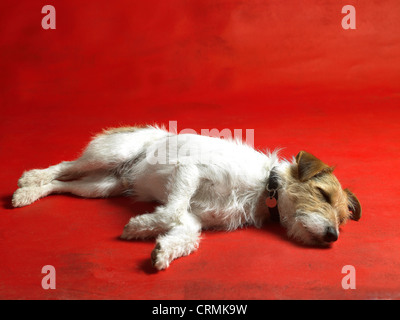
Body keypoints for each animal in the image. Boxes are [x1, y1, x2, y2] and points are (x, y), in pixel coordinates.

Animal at [13, 125, 362, 270]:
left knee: (61, 184)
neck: (265, 190)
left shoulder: (193, 218)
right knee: (64, 166)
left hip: (101, 186)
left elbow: (189, 237)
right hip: (110, 155)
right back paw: (30, 179)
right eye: (322, 194)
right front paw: (138, 226)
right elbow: (169, 213)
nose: (333, 235)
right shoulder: (190, 172)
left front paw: (162, 251)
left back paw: (30, 193)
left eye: (342, 220)